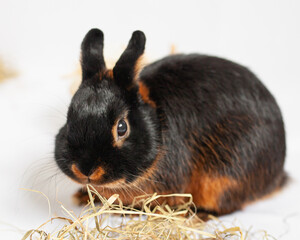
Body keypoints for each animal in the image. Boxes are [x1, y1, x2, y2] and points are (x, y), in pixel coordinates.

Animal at [55, 28, 288, 216]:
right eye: (69, 118)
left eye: (122, 127)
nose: (85, 170)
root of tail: (277, 174)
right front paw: (82, 196)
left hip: (225, 176)